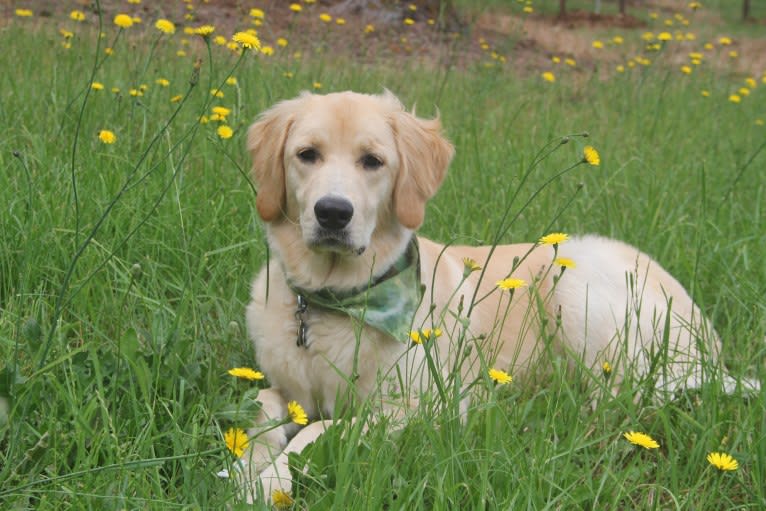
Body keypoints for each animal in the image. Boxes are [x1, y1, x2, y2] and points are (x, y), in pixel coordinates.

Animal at [242, 90, 756, 502]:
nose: (332, 212)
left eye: (373, 161)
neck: (332, 301)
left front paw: (270, 480)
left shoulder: (426, 407)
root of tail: (708, 341)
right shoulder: (286, 390)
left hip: (576, 279)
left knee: (622, 399)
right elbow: (261, 409)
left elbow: (318, 430)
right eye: (307, 154)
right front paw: (248, 467)